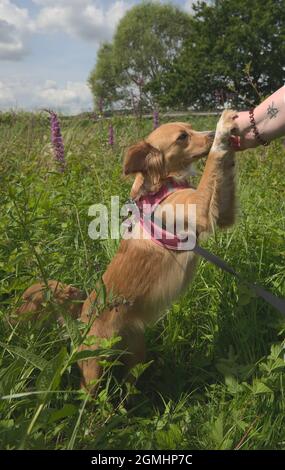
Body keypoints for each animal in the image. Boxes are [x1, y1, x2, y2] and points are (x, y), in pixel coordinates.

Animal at [16, 109, 236, 390]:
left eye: (190, 128)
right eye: (182, 137)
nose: (209, 133)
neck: (162, 185)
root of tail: (82, 315)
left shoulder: (219, 214)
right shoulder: (199, 208)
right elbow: (212, 168)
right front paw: (224, 128)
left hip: (136, 353)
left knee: (129, 384)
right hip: (93, 367)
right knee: (90, 392)